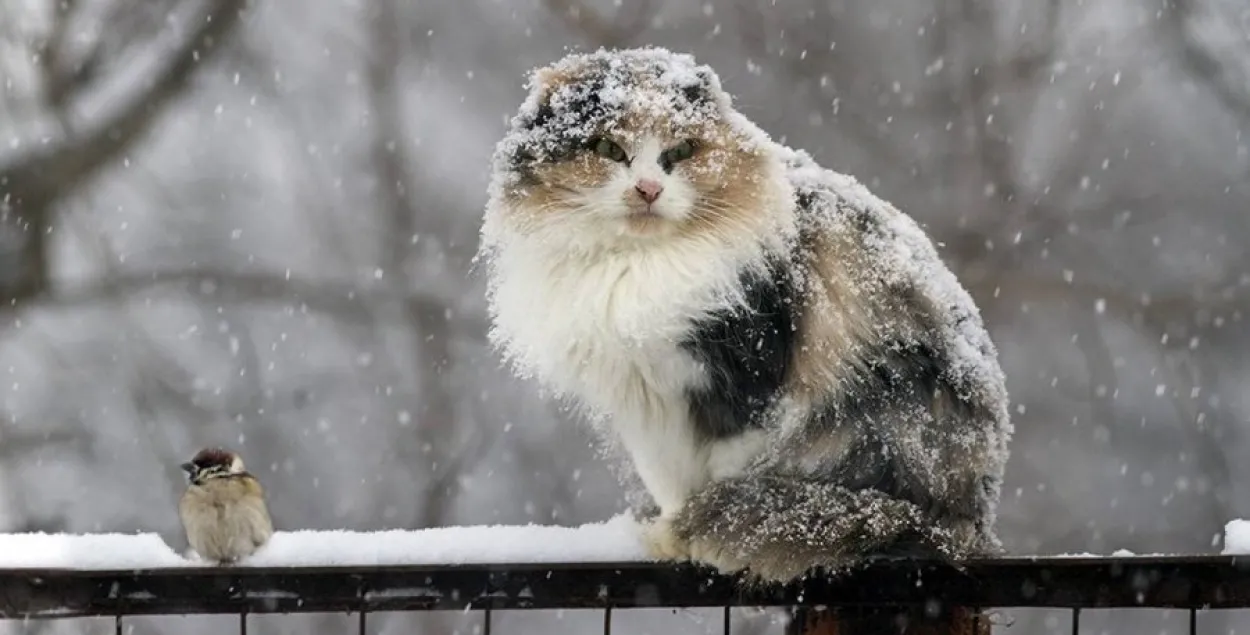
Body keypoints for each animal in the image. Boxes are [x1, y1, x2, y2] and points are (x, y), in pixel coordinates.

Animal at [477, 48, 1015, 585]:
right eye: (608, 148)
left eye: (681, 151)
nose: (649, 189)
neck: (636, 268)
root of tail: (967, 522)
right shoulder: (645, 405)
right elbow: (670, 483)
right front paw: (669, 535)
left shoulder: (745, 383)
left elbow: (721, 475)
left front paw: (685, 536)